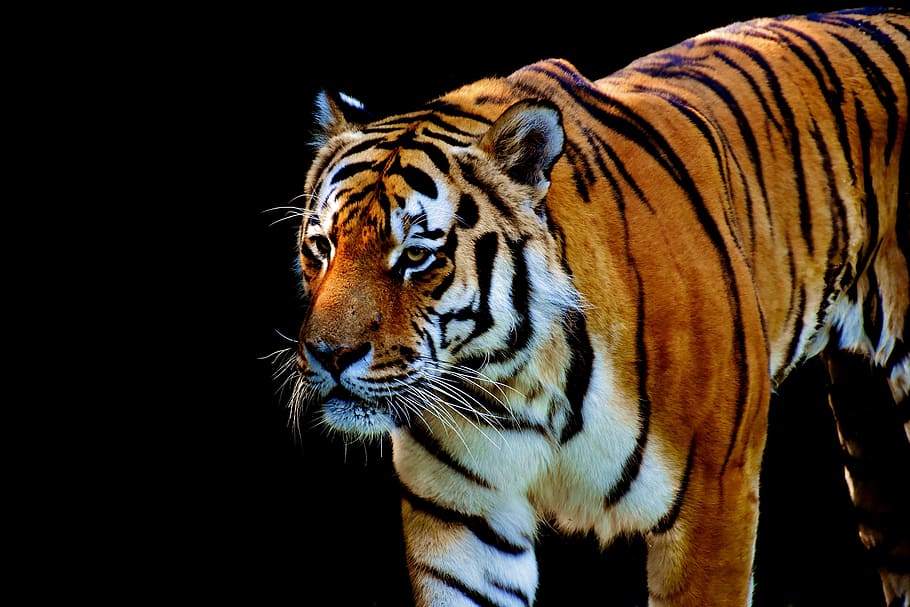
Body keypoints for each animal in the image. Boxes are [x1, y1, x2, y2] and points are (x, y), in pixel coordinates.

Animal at [284, 7, 910, 606]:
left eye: (415, 255)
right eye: (322, 247)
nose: (328, 355)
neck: (514, 380)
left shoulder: (715, 499)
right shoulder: (463, 520)